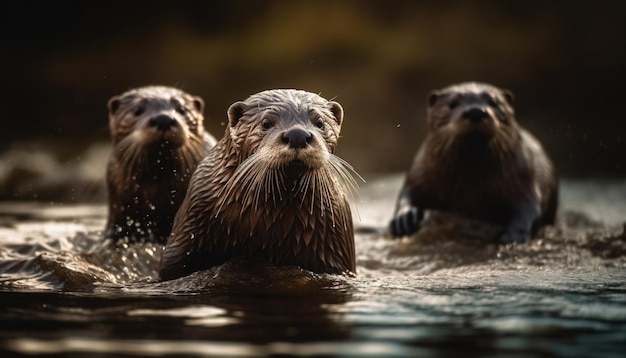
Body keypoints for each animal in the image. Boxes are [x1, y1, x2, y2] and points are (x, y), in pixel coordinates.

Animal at [390, 81, 556, 243]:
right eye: (452, 103)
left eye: (494, 102)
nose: (475, 111)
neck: (470, 186)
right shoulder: (420, 170)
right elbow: (407, 193)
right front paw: (404, 218)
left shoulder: (522, 174)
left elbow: (529, 207)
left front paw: (514, 236)